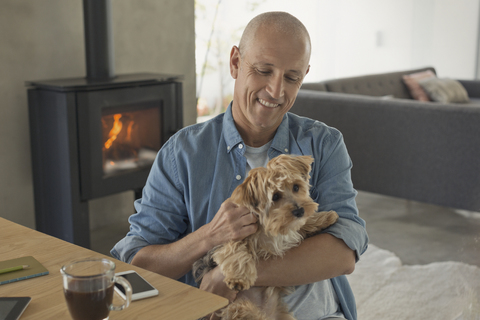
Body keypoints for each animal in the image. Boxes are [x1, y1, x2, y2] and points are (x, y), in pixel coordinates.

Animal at [193, 154, 340, 318]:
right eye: (275, 196)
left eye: (296, 187)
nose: (299, 211)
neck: (268, 224)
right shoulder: (228, 234)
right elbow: (235, 250)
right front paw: (239, 278)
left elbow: (301, 225)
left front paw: (325, 217)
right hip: (235, 308)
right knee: (242, 310)